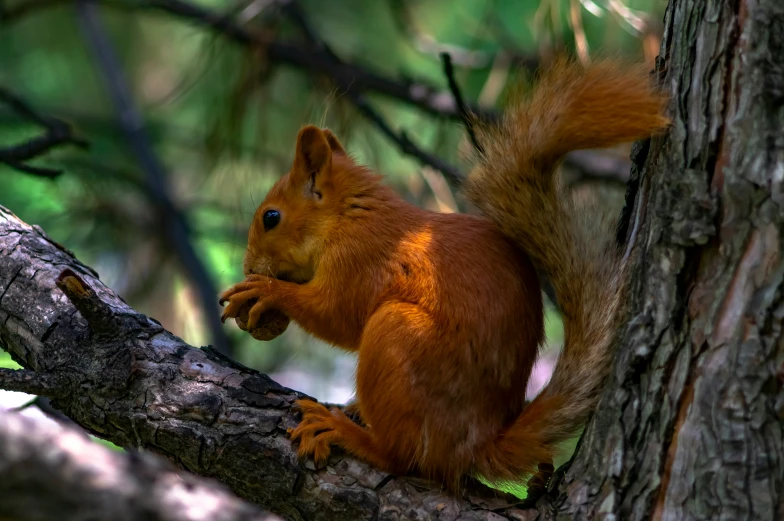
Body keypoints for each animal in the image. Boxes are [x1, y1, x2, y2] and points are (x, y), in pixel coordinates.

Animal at [219, 58, 668, 492]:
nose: (249, 266)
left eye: (271, 218)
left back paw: (348, 432)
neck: (349, 217)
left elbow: (338, 315)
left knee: (402, 457)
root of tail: (474, 447)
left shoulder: (361, 260)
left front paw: (266, 290)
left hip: (398, 337)